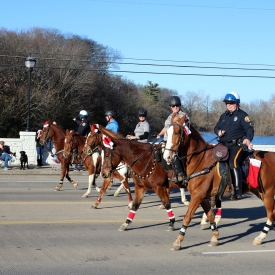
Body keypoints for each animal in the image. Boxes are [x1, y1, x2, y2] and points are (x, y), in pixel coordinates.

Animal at [164, 113, 275, 251]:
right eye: (167, 132)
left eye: (177, 132)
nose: (167, 156)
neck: (200, 160)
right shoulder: (202, 197)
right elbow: (210, 215)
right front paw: (215, 237)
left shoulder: (197, 196)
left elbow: (187, 217)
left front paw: (178, 241)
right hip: (260, 192)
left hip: (268, 193)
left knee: (271, 214)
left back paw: (260, 237)